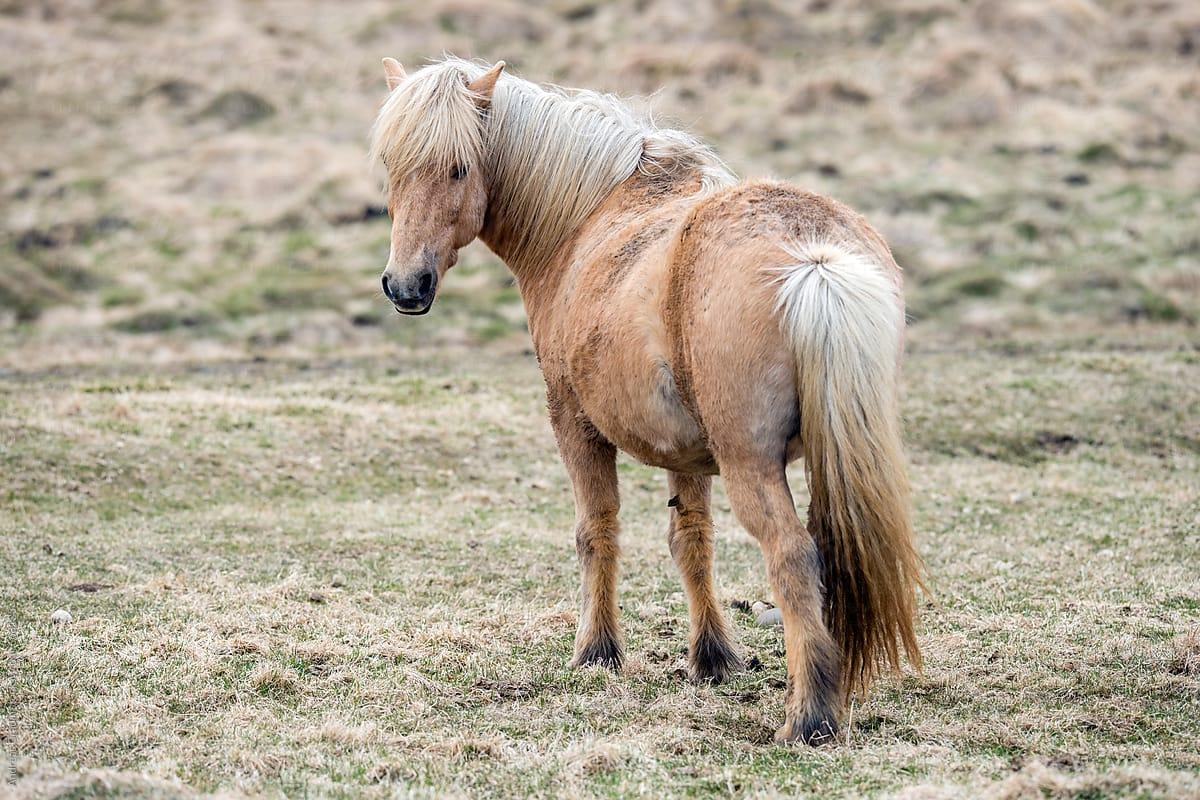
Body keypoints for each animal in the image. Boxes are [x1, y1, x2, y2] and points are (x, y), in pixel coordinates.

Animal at [369, 56, 923, 745]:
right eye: (390, 163)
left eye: (459, 168)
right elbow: (691, 539)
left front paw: (596, 652)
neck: (587, 219)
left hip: (751, 467)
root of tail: (814, 258)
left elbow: (596, 531)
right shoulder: (687, 454)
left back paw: (809, 717)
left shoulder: (574, 425)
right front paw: (712, 659)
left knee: (794, 558)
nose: (405, 285)